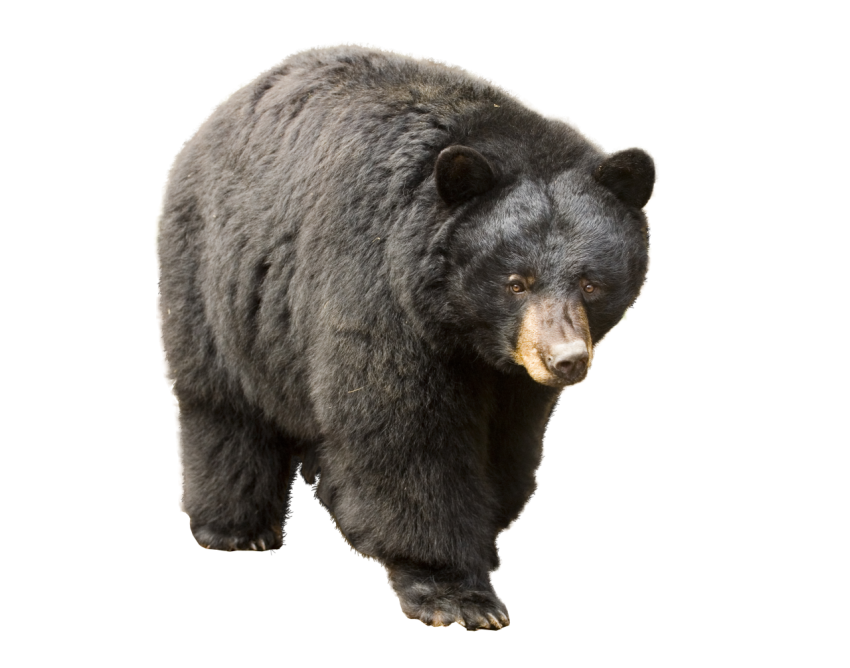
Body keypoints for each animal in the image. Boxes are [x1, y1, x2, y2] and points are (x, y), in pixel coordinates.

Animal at [155, 43, 657, 631]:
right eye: (516, 282)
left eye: (591, 282)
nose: (565, 359)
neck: (460, 326)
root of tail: (219, 115)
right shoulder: (379, 288)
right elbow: (406, 434)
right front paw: (454, 591)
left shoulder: (511, 377)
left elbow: (508, 440)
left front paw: (486, 543)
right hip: (216, 279)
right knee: (222, 404)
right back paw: (238, 527)